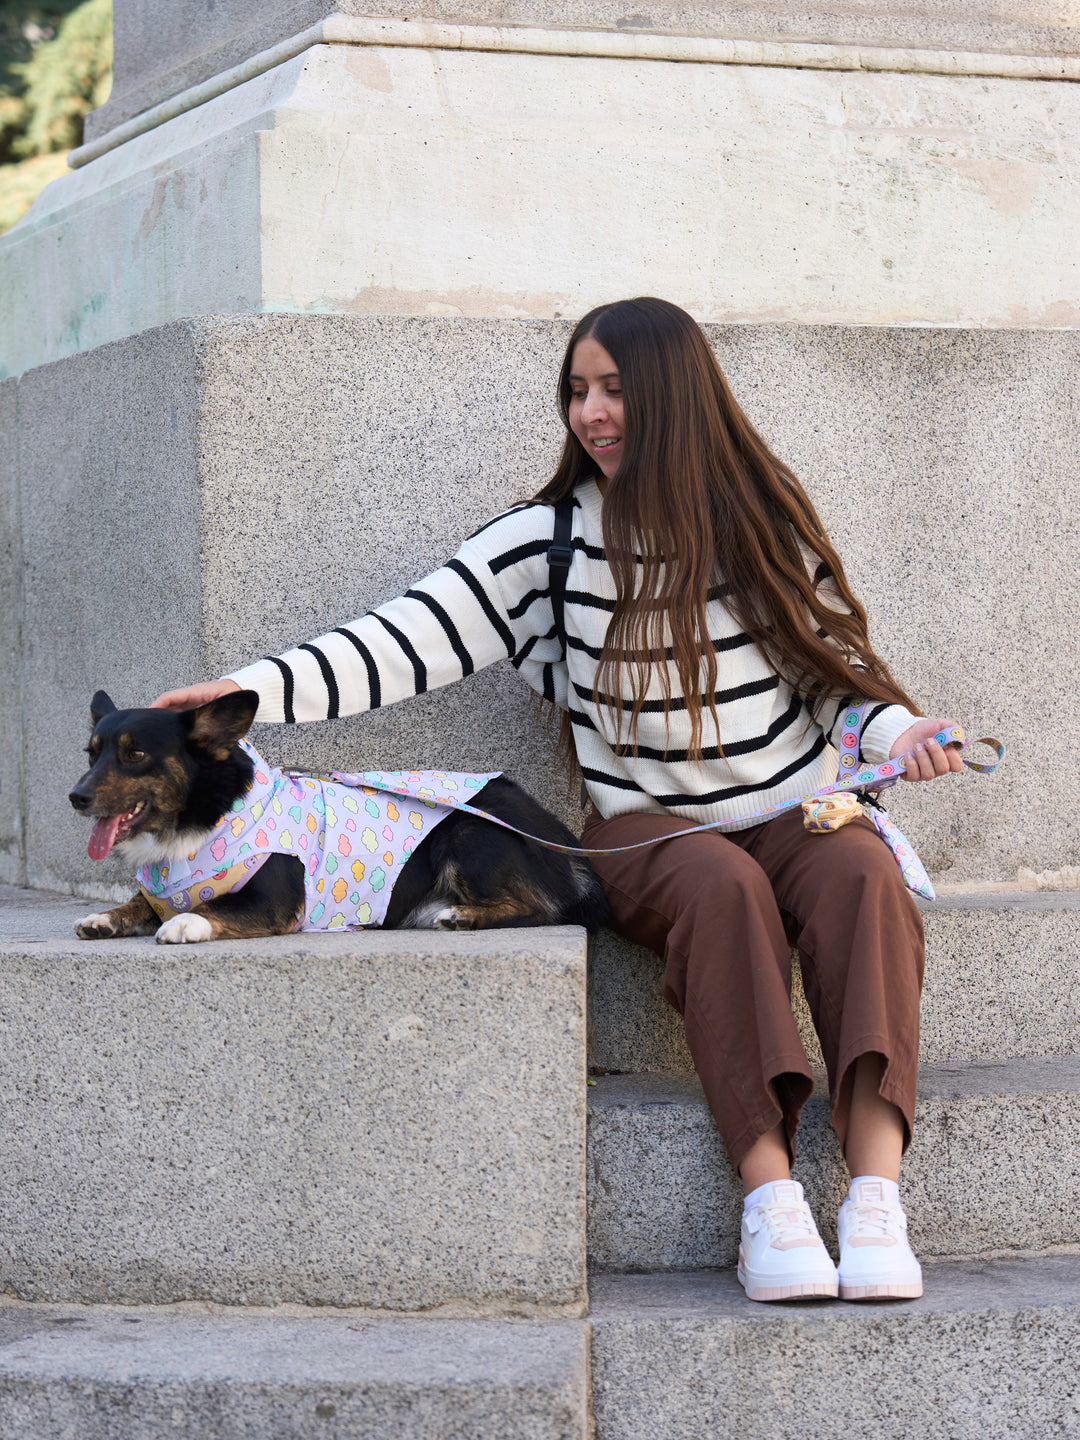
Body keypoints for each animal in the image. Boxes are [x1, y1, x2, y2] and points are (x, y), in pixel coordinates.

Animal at [69, 688, 610, 944]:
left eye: (135, 754)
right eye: (90, 754)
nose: (76, 797)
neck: (200, 818)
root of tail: (555, 833)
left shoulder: (273, 901)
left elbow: (212, 907)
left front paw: (186, 923)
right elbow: (139, 902)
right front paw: (105, 917)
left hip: (470, 834)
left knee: (543, 909)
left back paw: (464, 916)